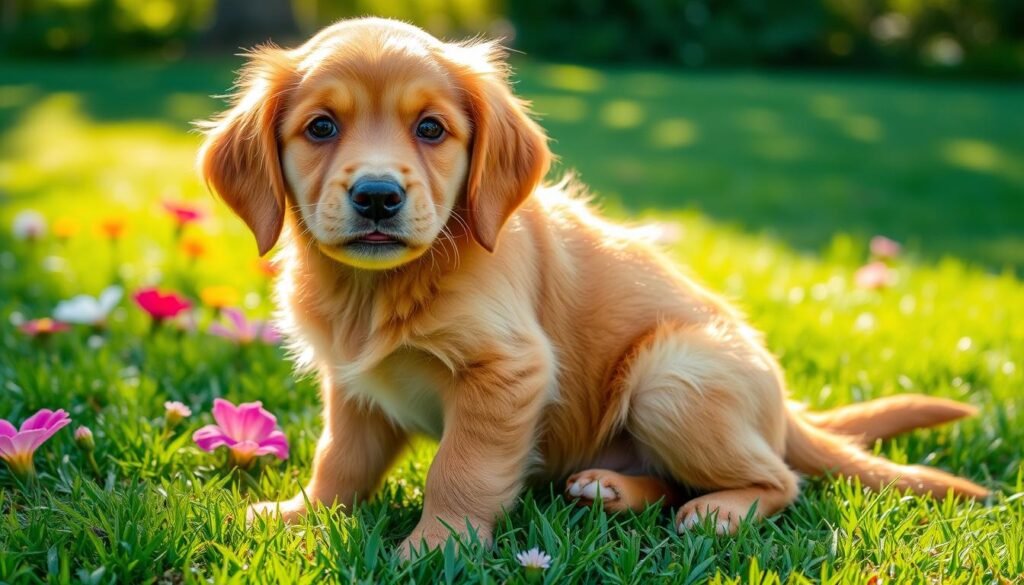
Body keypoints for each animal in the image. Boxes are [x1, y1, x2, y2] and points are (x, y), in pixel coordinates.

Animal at [195, 18, 987, 557]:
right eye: (321, 127)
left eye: (432, 129)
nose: (379, 197)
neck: (381, 287)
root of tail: (785, 406)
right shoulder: (355, 385)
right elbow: (341, 461)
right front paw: (303, 512)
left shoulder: (507, 371)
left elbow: (461, 468)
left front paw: (435, 545)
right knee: (675, 478)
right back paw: (613, 488)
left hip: (673, 377)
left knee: (783, 481)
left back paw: (721, 510)